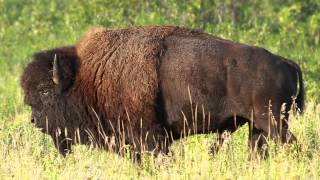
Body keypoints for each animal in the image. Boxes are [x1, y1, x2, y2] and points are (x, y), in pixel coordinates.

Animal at [21, 25, 304, 159]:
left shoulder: (149, 136)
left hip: (274, 122)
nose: (34, 120)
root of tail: (286, 61)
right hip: (257, 128)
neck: (88, 76)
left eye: (45, 91)